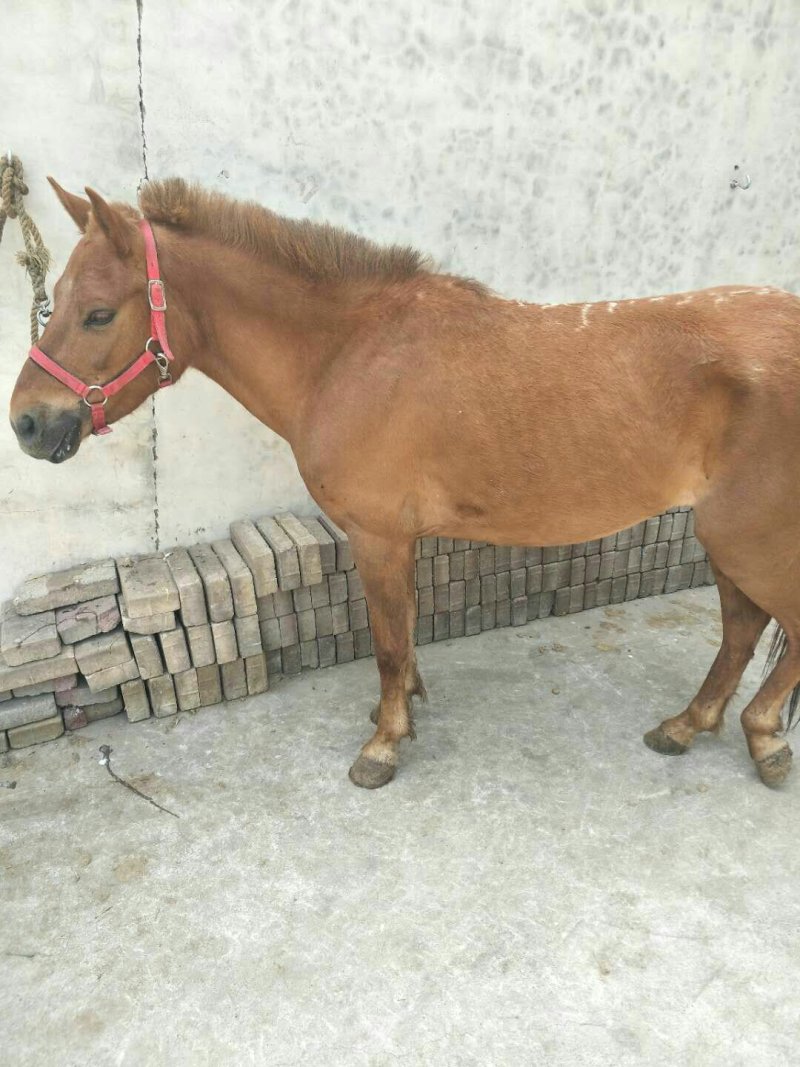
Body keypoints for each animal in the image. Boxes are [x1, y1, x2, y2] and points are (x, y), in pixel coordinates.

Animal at [8, 176, 800, 790]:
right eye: (54, 299)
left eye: (98, 313)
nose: (26, 423)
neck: (347, 351)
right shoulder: (401, 538)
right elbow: (408, 630)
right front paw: (406, 709)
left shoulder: (378, 536)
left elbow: (388, 640)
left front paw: (383, 744)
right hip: (730, 537)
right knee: (741, 628)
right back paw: (687, 725)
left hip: (750, 535)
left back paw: (761, 736)